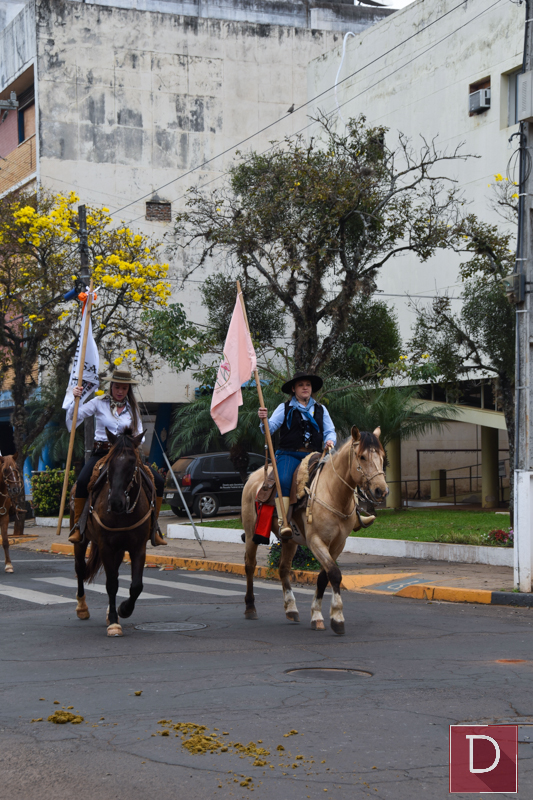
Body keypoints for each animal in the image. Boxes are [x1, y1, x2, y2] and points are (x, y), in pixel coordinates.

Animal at [72, 428, 154, 637]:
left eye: (132, 462)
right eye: (110, 462)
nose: (116, 502)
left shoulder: (138, 547)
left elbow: (136, 585)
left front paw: (123, 609)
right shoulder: (106, 547)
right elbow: (111, 584)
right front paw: (115, 623)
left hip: (119, 548)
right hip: (82, 541)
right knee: (80, 569)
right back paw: (82, 608)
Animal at [241, 426, 388, 635]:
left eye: (382, 456)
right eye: (362, 457)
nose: (381, 491)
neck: (334, 493)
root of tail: (254, 476)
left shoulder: (338, 544)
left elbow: (323, 577)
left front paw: (317, 615)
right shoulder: (316, 541)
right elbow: (334, 574)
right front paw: (337, 617)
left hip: (290, 540)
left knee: (283, 568)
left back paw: (291, 608)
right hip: (251, 534)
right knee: (250, 565)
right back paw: (250, 607)